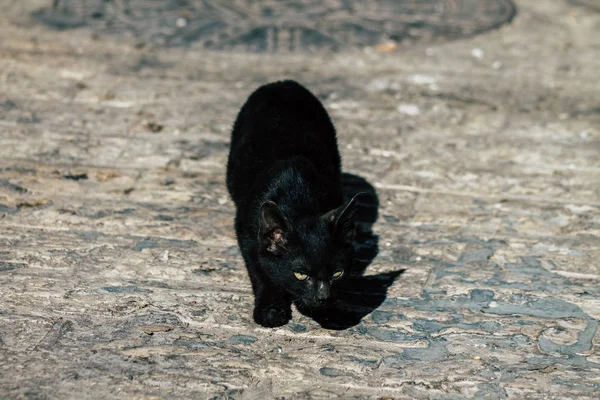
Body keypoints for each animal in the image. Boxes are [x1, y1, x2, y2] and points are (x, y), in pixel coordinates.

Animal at [224, 79, 356, 326]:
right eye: (301, 274)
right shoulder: (246, 232)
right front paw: (270, 310)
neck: (299, 201)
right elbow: (260, 269)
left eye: (337, 274)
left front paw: (331, 312)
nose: (323, 297)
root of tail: (283, 82)